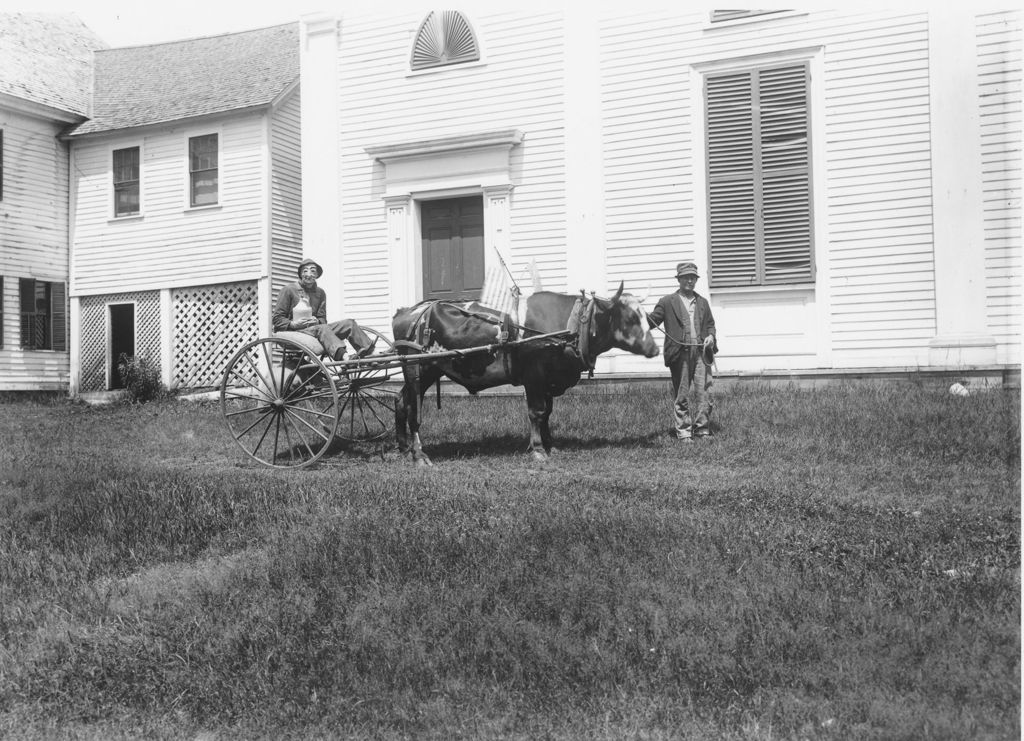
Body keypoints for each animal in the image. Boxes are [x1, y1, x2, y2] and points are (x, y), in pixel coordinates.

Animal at [387, 284, 659, 462]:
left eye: (646, 317)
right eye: (630, 318)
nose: (655, 349)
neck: (570, 326)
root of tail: (406, 312)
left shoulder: (549, 380)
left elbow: (547, 413)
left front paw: (550, 446)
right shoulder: (534, 375)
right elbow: (536, 412)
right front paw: (537, 449)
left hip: (427, 372)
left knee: (400, 400)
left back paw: (403, 448)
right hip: (417, 368)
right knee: (413, 409)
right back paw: (419, 454)